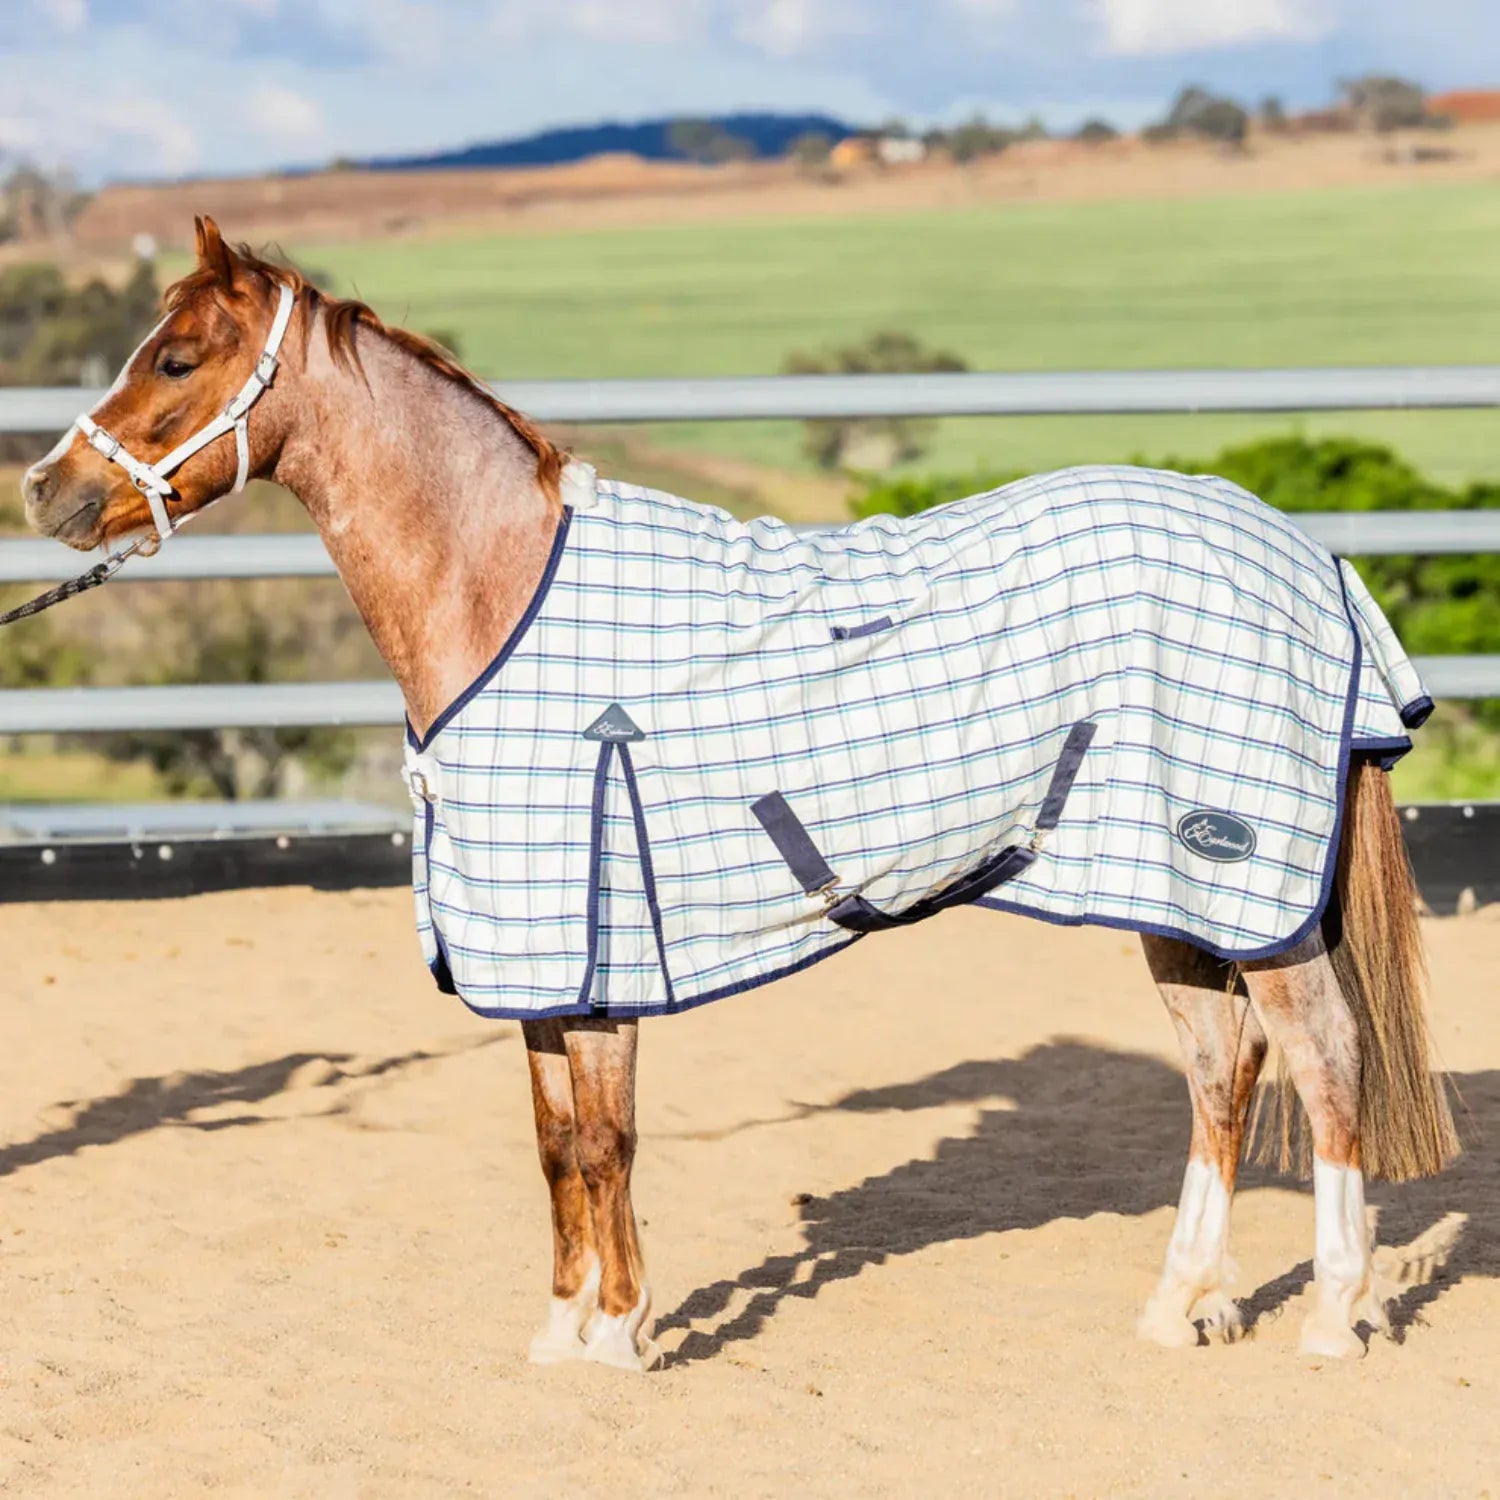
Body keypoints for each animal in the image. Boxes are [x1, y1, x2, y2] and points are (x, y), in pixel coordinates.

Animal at [21, 217, 1459, 1372]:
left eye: (176, 359)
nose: (47, 491)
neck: (503, 596)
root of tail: (1300, 555)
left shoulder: (594, 949)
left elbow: (608, 1140)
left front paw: (622, 1334)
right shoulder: (533, 959)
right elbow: (555, 1143)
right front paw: (561, 1328)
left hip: (1243, 884)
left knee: (1326, 1062)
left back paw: (1331, 1320)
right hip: (1168, 891)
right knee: (1222, 1072)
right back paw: (1182, 1307)